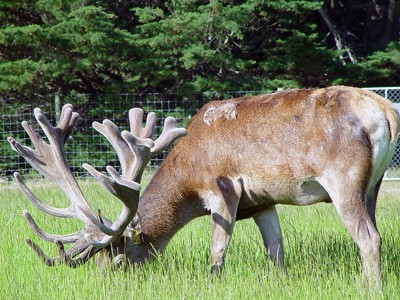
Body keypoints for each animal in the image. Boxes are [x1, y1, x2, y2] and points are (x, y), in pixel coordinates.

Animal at [7, 85, 400, 290]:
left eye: (118, 260)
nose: (105, 285)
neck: (187, 181)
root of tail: (386, 110)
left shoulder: (222, 187)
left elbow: (217, 251)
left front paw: (213, 284)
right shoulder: (262, 202)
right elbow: (276, 251)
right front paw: (282, 284)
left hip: (344, 178)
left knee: (369, 237)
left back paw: (371, 288)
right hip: (374, 183)